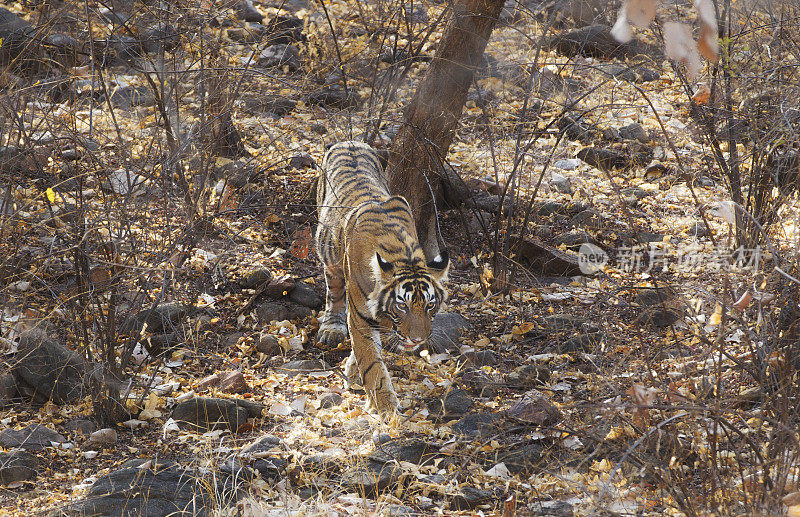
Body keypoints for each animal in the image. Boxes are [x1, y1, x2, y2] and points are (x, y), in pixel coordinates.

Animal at [314, 140, 450, 412]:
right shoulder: (360, 315)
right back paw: (331, 327)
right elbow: (371, 361)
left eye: (430, 305)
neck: (403, 255)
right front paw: (385, 407)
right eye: (402, 306)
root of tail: (350, 141)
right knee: (334, 293)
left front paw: (353, 371)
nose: (417, 339)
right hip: (329, 257)